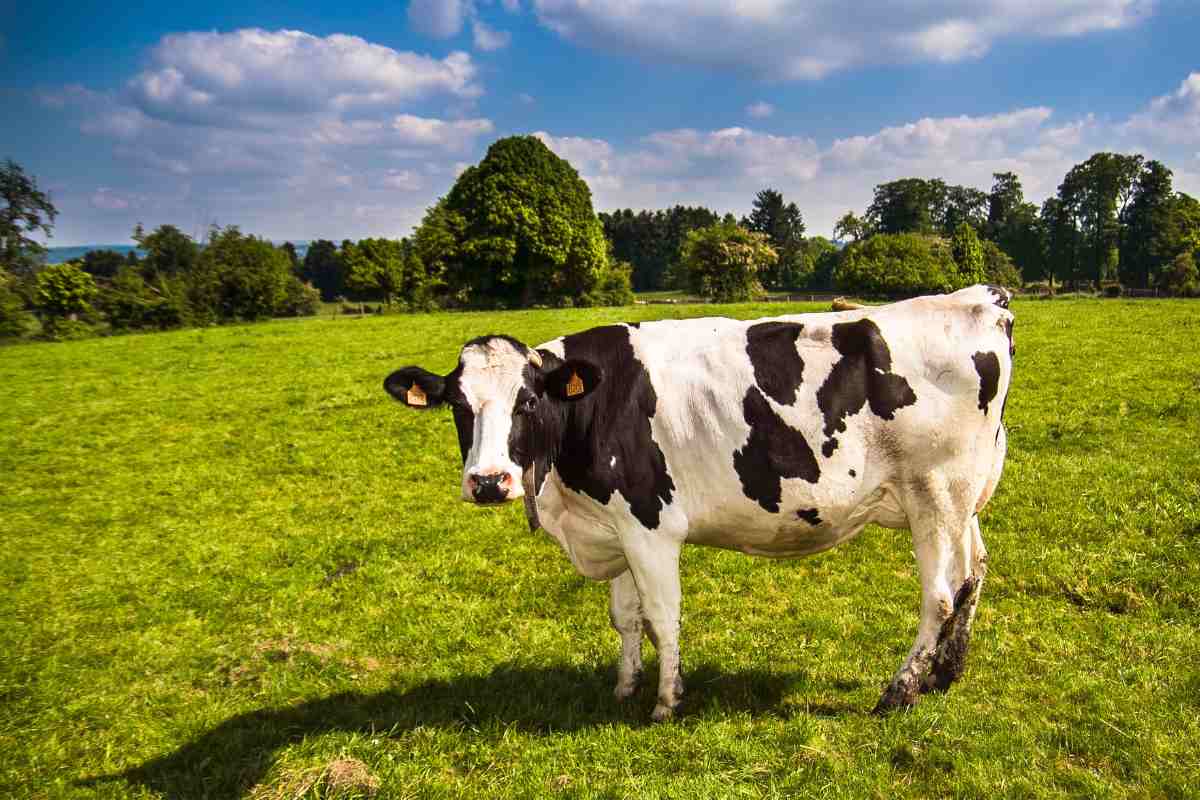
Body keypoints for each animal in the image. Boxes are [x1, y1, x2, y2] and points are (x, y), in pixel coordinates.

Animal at [381, 286, 1012, 719]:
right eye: (458, 405)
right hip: (963, 498)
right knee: (974, 572)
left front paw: (666, 701)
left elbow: (662, 616)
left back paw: (900, 691)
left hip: (934, 494)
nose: (489, 482)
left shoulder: (649, 525)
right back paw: (945, 673)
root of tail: (981, 299)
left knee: (939, 595)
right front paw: (625, 686)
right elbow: (625, 616)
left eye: (528, 401)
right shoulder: (613, 525)